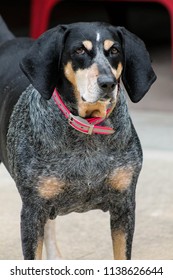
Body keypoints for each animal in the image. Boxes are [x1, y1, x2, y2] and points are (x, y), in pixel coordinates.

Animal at [0, 16, 157, 260]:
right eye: (79, 50)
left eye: (114, 51)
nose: (108, 83)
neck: (87, 132)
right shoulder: (32, 211)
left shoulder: (124, 205)